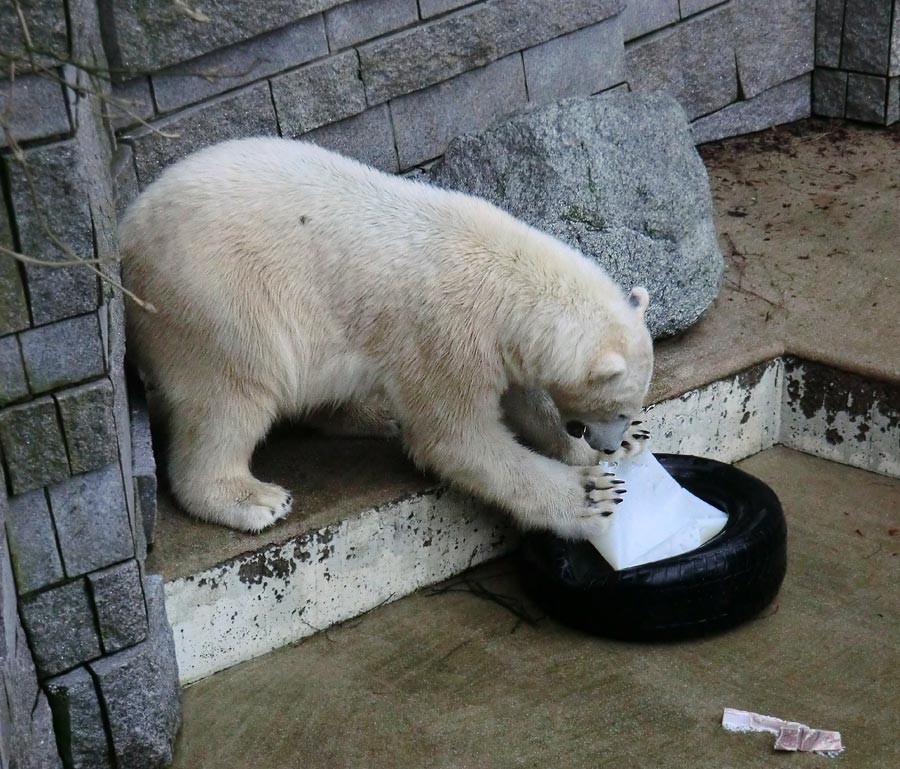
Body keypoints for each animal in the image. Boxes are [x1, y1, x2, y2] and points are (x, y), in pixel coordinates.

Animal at [121, 135, 652, 536]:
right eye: (617, 409)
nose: (610, 443)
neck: (508, 278)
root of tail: (128, 233)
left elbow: (522, 400)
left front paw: (617, 445)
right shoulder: (444, 335)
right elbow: (458, 439)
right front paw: (592, 495)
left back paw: (373, 415)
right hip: (218, 300)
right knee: (231, 396)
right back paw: (254, 499)